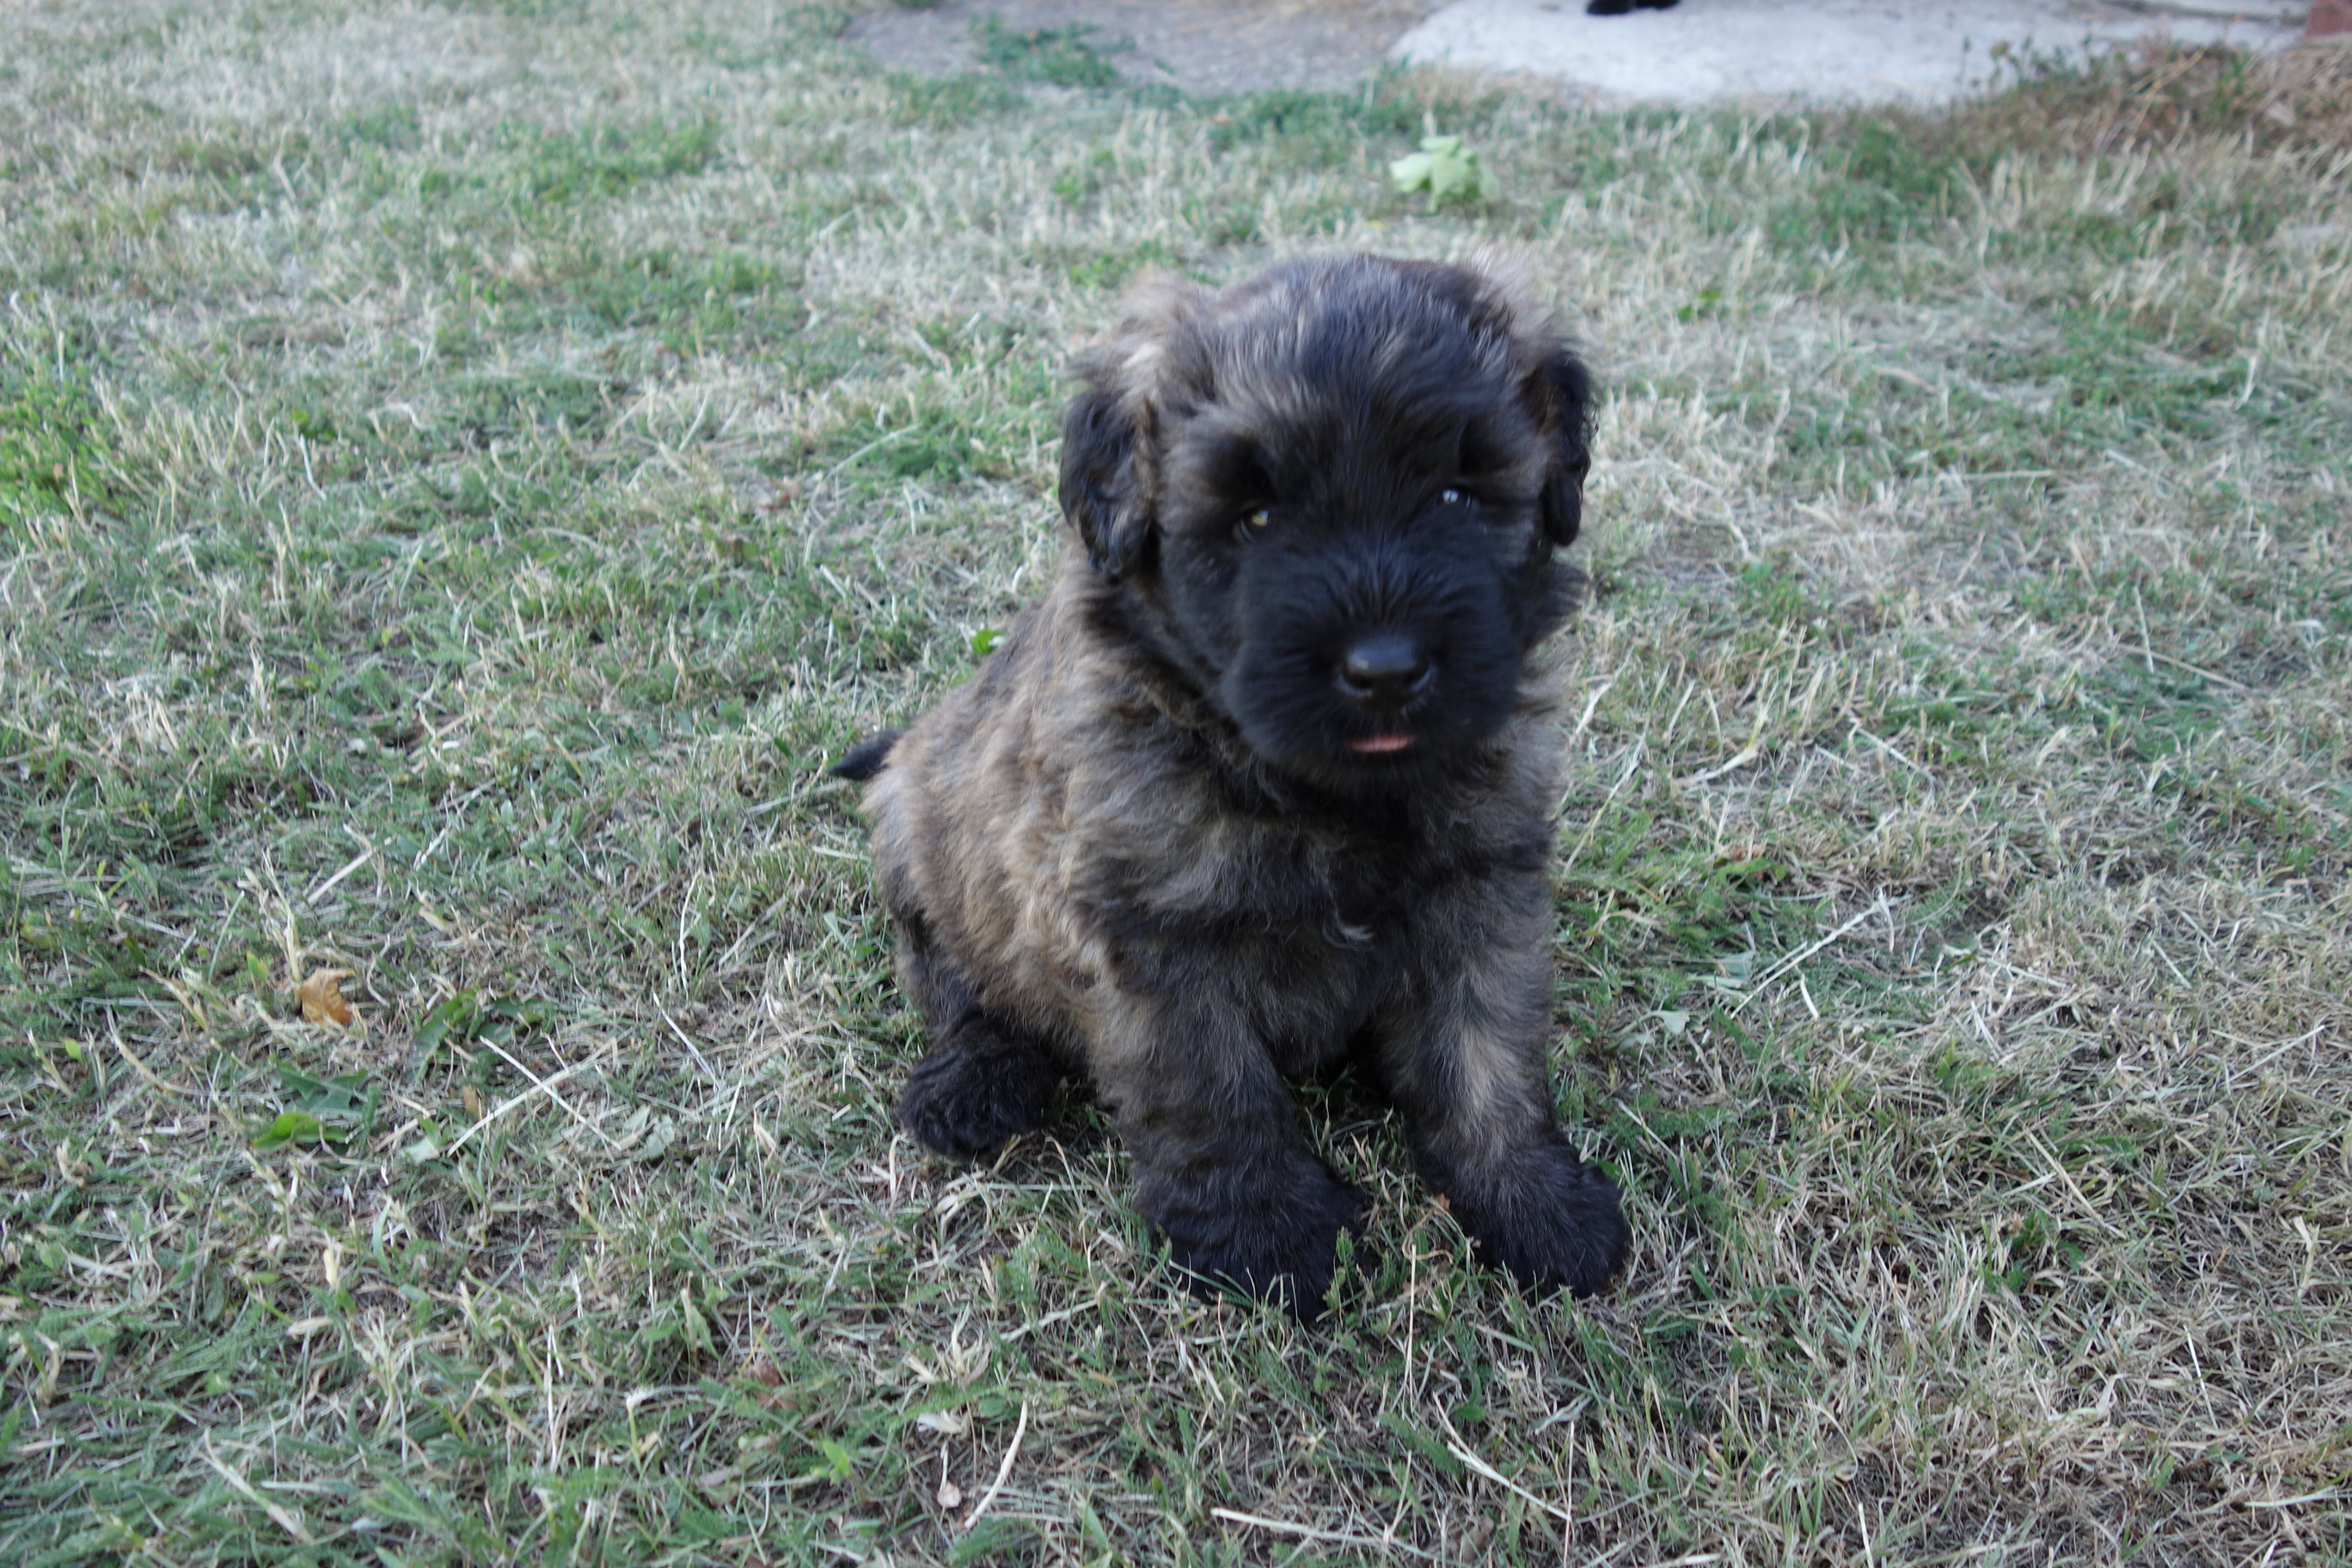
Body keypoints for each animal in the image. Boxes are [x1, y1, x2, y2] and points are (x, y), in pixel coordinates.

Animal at [834, 252, 1628, 1316]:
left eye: (1459, 496)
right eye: (1255, 518)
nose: (1386, 669)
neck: (1319, 793)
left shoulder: (1482, 890)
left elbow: (1487, 1054)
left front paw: (1533, 1201)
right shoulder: (1153, 938)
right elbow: (1211, 1086)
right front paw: (1265, 1233)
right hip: (916, 832)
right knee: (958, 985)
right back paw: (975, 1084)